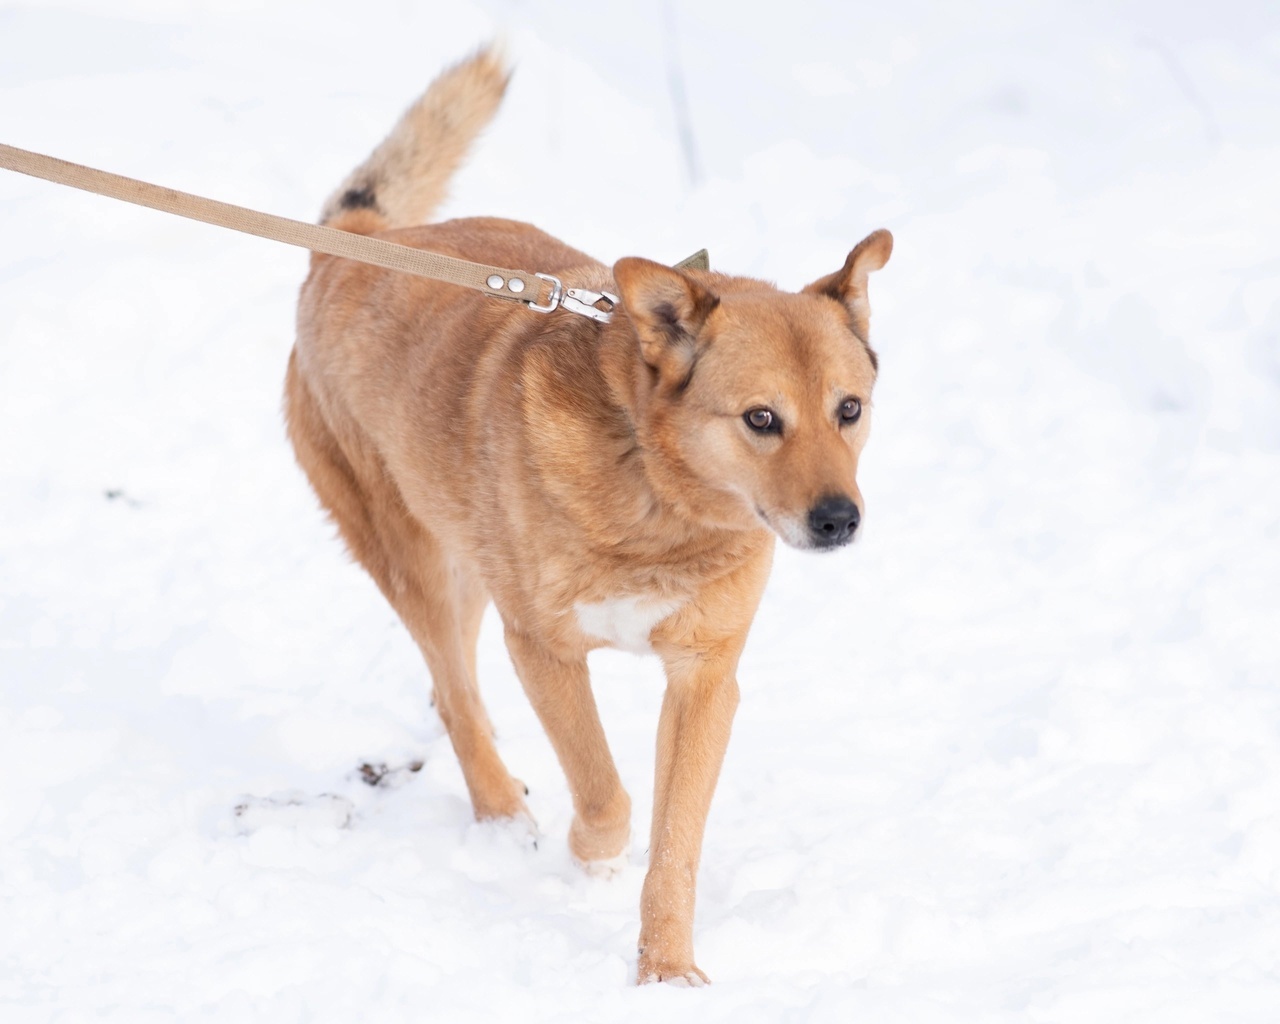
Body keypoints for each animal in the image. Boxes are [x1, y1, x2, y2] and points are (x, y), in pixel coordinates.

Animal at [286, 48, 896, 983]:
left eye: (849, 410)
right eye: (761, 419)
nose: (838, 520)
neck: (653, 493)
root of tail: (355, 245)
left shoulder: (705, 678)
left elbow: (675, 844)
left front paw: (667, 972)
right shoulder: (544, 648)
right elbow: (606, 794)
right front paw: (589, 859)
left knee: (454, 687)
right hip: (420, 559)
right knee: (454, 694)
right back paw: (505, 820)